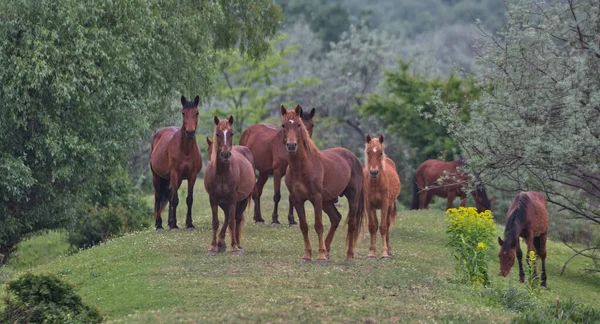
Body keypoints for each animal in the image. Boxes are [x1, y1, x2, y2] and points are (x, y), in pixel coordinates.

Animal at [150, 95, 204, 232]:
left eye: (197, 113)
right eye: (183, 113)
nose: (190, 132)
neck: (185, 151)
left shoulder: (192, 176)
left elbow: (189, 199)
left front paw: (189, 224)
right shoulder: (175, 174)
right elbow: (175, 199)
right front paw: (174, 226)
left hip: (176, 179)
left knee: (169, 195)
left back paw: (169, 222)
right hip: (157, 177)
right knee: (158, 197)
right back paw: (159, 225)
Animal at [204, 116, 255, 256]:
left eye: (231, 133)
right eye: (217, 134)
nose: (225, 155)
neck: (222, 173)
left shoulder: (232, 198)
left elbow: (232, 222)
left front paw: (234, 248)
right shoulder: (213, 199)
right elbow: (216, 222)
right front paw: (213, 247)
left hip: (242, 200)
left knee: (236, 219)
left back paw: (237, 244)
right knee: (228, 216)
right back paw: (221, 242)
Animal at [278, 104, 364, 264]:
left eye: (298, 125)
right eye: (283, 125)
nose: (292, 145)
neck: (302, 167)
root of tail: (352, 156)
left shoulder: (316, 198)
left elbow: (318, 226)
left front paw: (321, 256)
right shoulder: (297, 200)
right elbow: (304, 226)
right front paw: (307, 255)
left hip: (353, 199)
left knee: (352, 224)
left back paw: (349, 255)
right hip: (327, 201)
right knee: (336, 218)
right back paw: (328, 248)